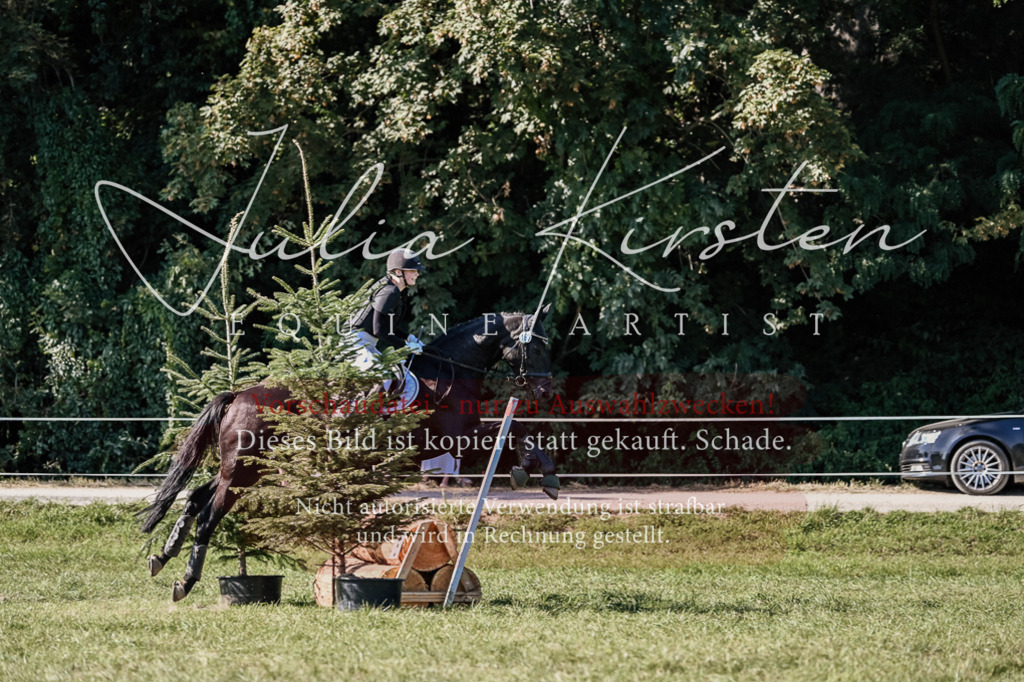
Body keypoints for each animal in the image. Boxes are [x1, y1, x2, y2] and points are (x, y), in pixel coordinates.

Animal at [139, 308, 559, 601]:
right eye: (537, 345)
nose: (545, 391)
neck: (449, 371)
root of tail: (240, 394)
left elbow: (516, 432)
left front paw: (536, 473)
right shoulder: (452, 441)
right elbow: (514, 430)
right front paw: (541, 473)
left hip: (248, 469)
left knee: (196, 497)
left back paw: (163, 555)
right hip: (242, 471)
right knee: (208, 515)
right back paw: (185, 581)